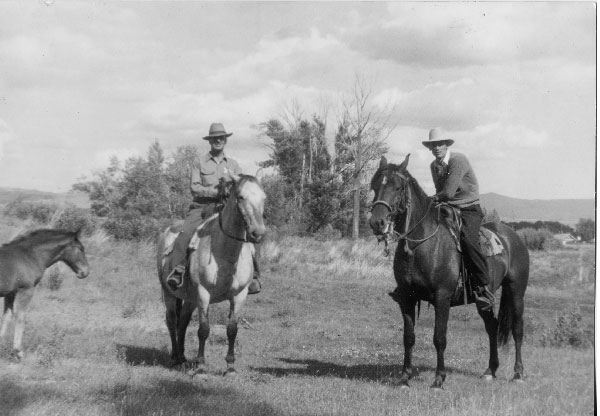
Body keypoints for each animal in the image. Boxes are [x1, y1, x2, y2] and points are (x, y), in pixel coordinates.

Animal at [0, 229, 90, 360]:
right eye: (81, 248)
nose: (85, 272)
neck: (31, 256)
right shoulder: (27, 290)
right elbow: (20, 317)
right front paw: (19, 351)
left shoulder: (10, 293)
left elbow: (7, 317)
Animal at [157, 174, 264, 376]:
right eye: (240, 197)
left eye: (264, 198)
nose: (258, 233)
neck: (226, 254)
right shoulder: (203, 293)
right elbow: (203, 330)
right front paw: (200, 366)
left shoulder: (239, 295)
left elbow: (232, 329)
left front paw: (230, 366)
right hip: (169, 293)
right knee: (172, 321)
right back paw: (175, 358)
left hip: (190, 299)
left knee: (182, 323)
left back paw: (183, 358)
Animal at [370, 156, 528, 390]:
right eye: (374, 187)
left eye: (397, 187)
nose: (377, 222)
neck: (421, 244)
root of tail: (514, 237)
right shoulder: (407, 299)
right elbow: (408, 337)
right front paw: (405, 377)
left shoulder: (442, 298)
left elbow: (439, 338)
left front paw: (438, 379)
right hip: (483, 300)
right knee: (492, 327)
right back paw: (490, 371)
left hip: (516, 292)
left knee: (517, 329)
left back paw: (518, 373)